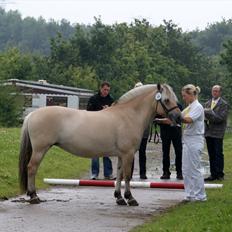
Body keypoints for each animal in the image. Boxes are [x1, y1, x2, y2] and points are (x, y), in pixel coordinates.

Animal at [18, 83, 181, 205]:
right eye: (166, 100)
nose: (178, 117)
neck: (128, 115)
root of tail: (32, 114)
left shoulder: (122, 155)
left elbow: (120, 175)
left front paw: (119, 197)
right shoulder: (128, 154)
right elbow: (127, 176)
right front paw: (130, 198)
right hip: (40, 149)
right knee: (31, 168)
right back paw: (33, 196)